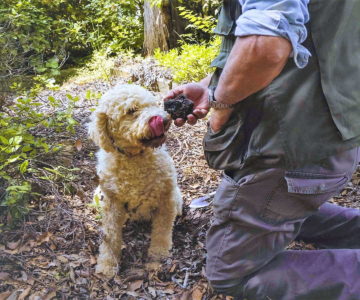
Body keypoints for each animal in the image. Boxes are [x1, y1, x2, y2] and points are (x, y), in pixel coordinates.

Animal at [87, 84, 183, 276]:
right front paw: (107, 264)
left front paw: (159, 254)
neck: (134, 158)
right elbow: (110, 236)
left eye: (153, 104)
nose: (163, 119)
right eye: (131, 111)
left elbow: (162, 229)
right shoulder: (111, 203)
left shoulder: (166, 197)